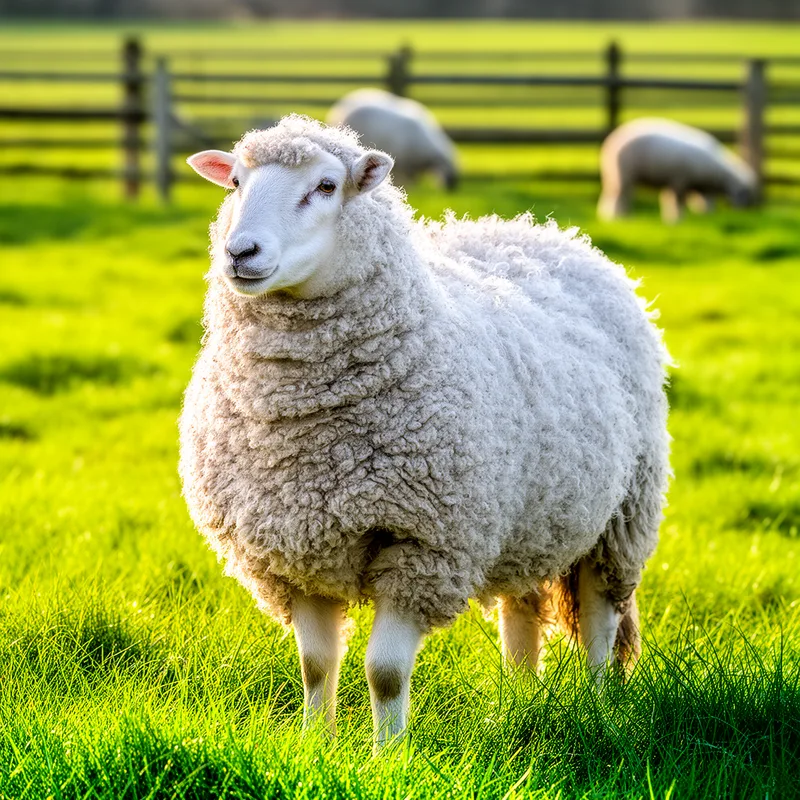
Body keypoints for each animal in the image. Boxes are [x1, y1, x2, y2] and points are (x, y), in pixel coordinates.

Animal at [181, 115, 670, 750]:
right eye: (235, 182)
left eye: (326, 187)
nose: (239, 252)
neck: (304, 433)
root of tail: (541, 231)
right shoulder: (295, 549)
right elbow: (315, 666)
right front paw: (316, 745)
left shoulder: (422, 547)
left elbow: (385, 672)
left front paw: (388, 754)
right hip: (529, 517)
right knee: (522, 608)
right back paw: (520, 701)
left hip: (622, 514)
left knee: (598, 618)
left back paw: (597, 704)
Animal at [597, 118, 757, 223]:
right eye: (745, 193)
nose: (744, 212)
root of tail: (613, 138)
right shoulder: (680, 181)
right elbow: (678, 202)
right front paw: (677, 219)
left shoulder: (697, 185)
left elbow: (705, 201)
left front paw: (705, 215)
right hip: (624, 173)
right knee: (620, 196)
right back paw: (619, 217)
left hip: (616, 175)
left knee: (614, 195)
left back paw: (612, 215)